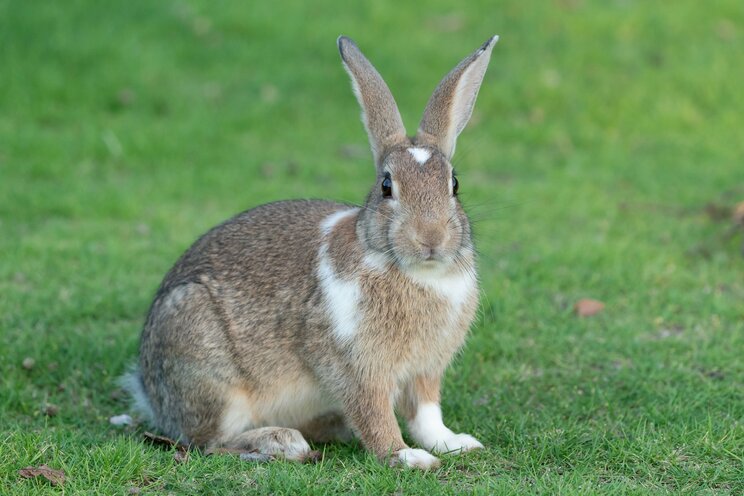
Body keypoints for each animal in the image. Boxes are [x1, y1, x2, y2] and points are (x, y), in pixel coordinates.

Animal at [125, 35, 500, 468]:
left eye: (454, 184)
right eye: (387, 186)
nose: (431, 237)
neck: (415, 273)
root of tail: (149, 389)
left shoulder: (425, 371)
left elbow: (426, 415)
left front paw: (455, 443)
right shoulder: (355, 368)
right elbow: (375, 416)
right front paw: (407, 457)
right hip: (209, 369)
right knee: (207, 442)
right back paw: (281, 442)